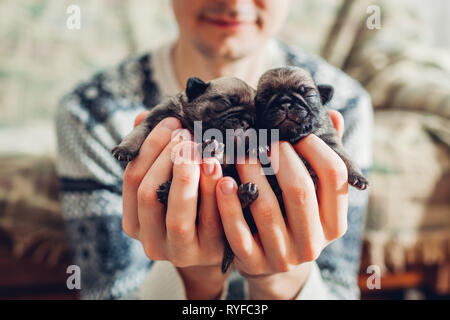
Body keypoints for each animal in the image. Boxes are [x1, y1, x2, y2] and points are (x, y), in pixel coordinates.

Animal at [112, 75, 260, 272]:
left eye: (253, 121)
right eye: (226, 102)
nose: (245, 123)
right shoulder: (155, 119)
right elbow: (138, 133)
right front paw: (125, 148)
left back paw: (246, 193)